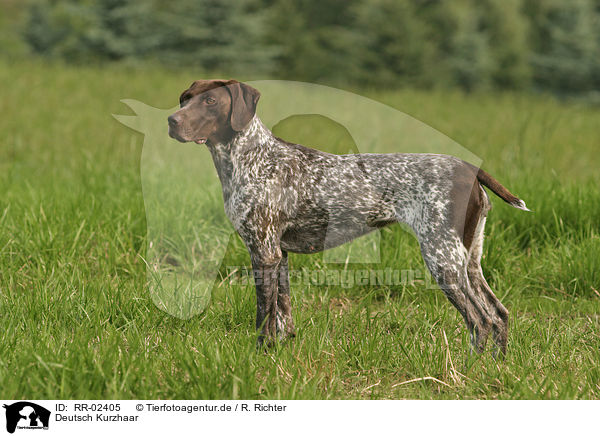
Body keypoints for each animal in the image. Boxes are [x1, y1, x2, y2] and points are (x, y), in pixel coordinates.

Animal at [166, 80, 528, 356]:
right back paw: (496, 366)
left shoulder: (263, 253)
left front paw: (259, 356)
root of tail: (471, 169)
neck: (250, 157)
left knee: (480, 321)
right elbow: (283, 315)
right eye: (185, 98)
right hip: (469, 261)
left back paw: (469, 368)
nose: (171, 120)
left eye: (210, 101)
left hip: (443, 259)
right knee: (499, 314)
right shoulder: (278, 255)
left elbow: (263, 317)